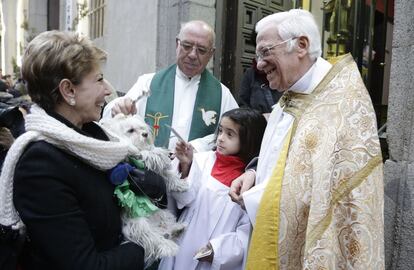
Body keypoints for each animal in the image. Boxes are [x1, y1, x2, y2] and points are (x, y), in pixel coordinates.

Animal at [99, 114, 187, 266]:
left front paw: (181, 184)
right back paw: (167, 246)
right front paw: (159, 153)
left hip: (162, 213)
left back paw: (177, 229)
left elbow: (168, 176)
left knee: (165, 230)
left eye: (142, 128)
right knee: (152, 239)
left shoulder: (158, 173)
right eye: (130, 130)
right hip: (138, 224)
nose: (145, 134)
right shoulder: (132, 157)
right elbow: (146, 154)